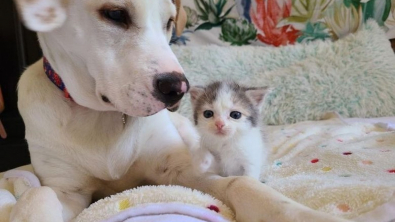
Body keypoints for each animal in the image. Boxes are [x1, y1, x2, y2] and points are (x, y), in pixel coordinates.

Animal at [13, 0, 352, 221]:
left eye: (169, 22)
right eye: (115, 13)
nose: (178, 88)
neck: (103, 117)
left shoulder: (180, 172)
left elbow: (241, 183)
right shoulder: (68, 190)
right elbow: (38, 193)